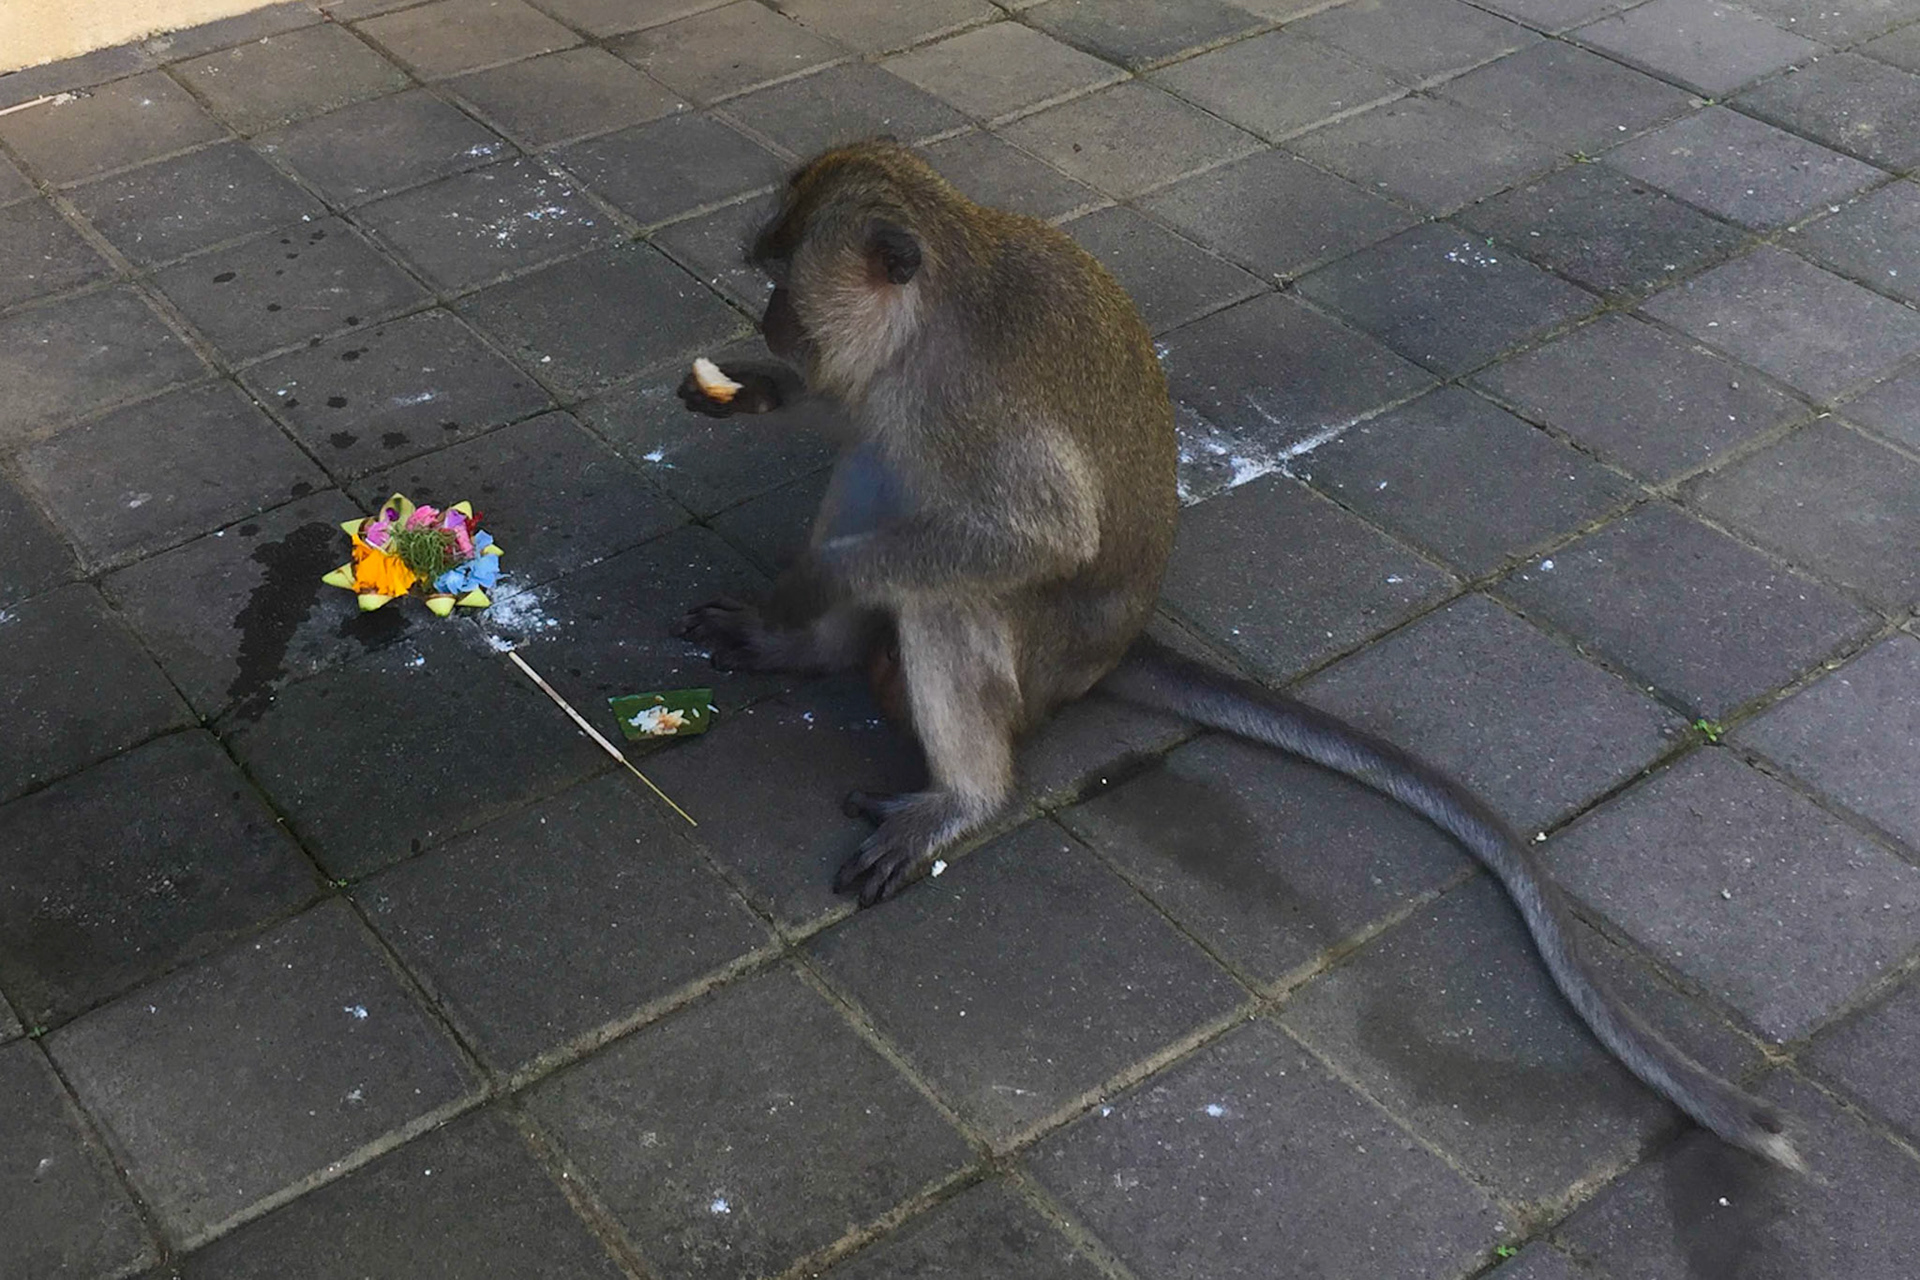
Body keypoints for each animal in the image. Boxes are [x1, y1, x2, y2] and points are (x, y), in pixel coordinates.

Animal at [670, 139, 1804, 1173]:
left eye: (785, 283)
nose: (768, 326)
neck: (926, 319)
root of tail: (1113, 652)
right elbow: (861, 431)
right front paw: (758, 400)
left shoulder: (967, 404)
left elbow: (1039, 535)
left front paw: (817, 583)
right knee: (876, 462)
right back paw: (803, 649)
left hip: (1040, 662)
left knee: (953, 586)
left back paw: (963, 791)